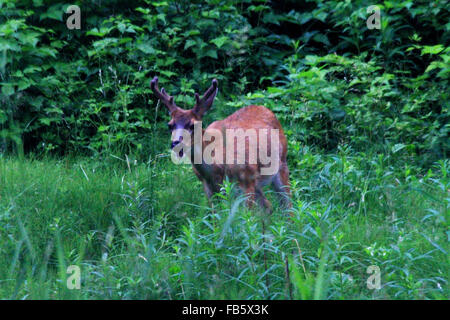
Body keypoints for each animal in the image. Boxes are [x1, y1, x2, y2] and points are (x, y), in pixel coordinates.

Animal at [151, 76, 292, 214]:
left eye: (192, 125)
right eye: (170, 125)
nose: (175, 143)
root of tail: (266, 109)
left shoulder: (247, 181)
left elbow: (247, 218)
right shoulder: (208, 187)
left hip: (281, 164)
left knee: (288, 205)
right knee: (268, 206)